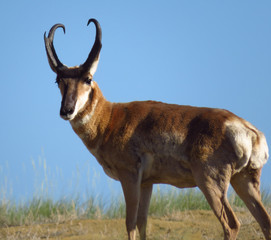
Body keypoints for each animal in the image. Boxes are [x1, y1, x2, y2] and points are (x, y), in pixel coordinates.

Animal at [44, 18, 271, 240]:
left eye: (88, 79)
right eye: (58, 80)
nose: (66, 110)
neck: (110, 119)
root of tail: (249, 130)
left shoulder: (130, 176)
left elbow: (130, 224)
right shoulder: (147, 183)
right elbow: (142, 223)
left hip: (210, 182)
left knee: (231, 224)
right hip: (244, 181)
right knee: (265, 222)